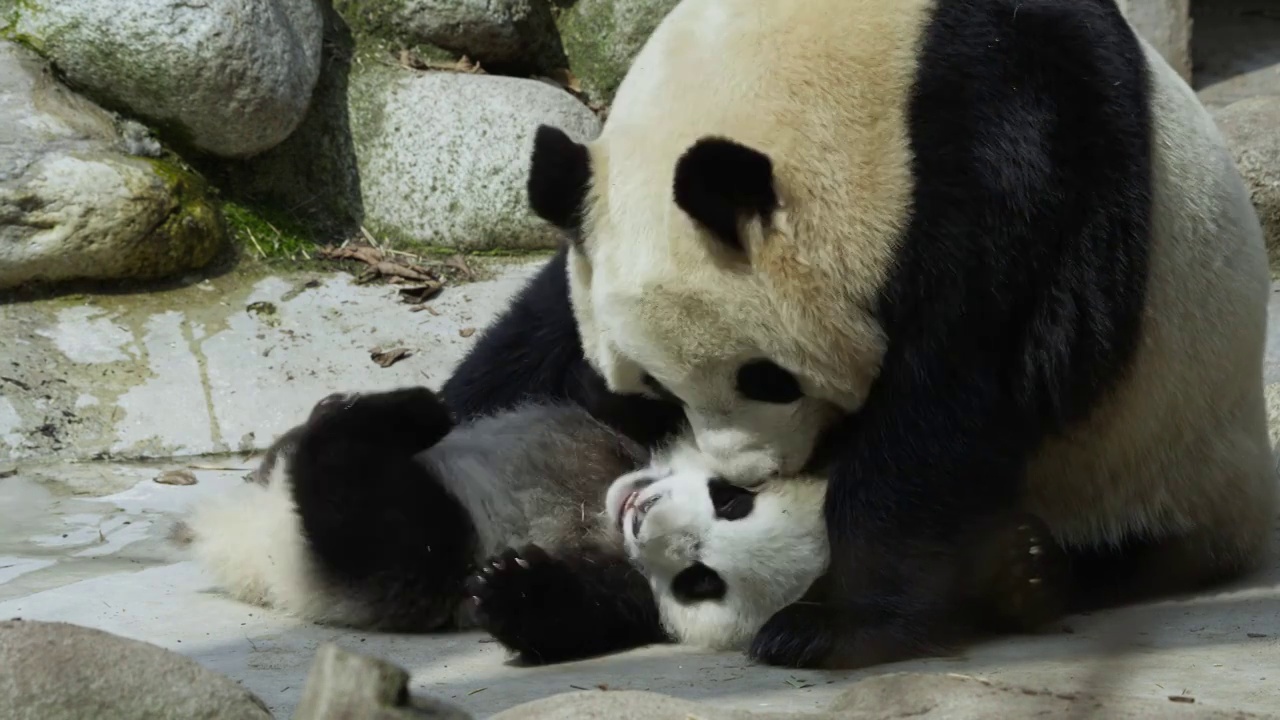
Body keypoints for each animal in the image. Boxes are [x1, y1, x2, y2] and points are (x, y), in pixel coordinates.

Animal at [435, 0, 1274, 666]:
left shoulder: (1017, 150)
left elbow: (962, 393)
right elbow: (543, 330)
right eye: (651, 386)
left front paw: (826, 623)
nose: (752, 473)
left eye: (765, 377)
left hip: (1154, 465)